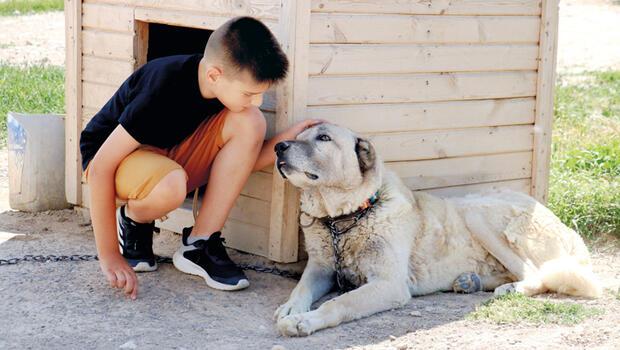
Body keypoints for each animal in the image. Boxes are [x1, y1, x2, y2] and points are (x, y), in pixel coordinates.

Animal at [272, 122, 600, 336]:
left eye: (324, 137)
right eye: (297, 136)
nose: (279, 146)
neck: (345, 219)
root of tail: (569, 233)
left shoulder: (388, 284)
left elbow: (339, 302)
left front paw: (305, 321)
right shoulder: (322, 268)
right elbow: (302, 288)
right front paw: (292, 308)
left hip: (476, 212)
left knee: (536, 273)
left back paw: (510, 289)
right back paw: (471, 281)